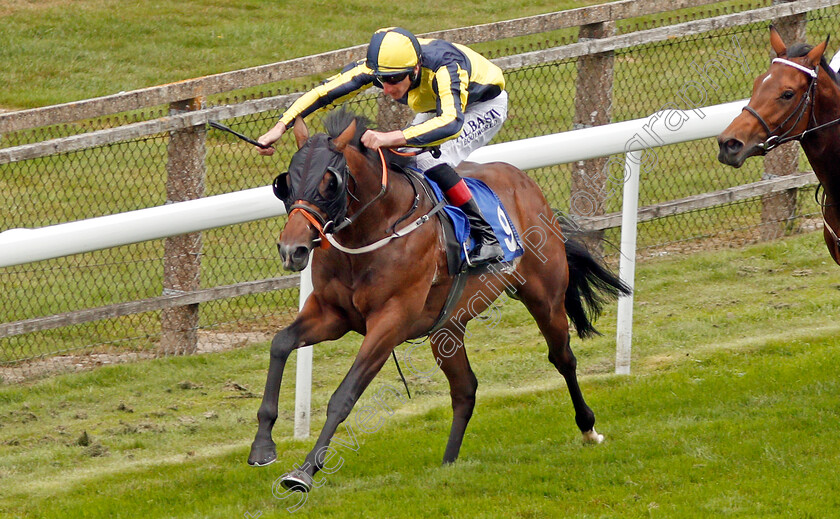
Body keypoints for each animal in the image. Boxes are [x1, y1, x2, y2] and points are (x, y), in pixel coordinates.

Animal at [249, 108, 632, 492]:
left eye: (330, 183)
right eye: (285, 183)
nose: (292, 249)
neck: (374, 230)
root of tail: (525, 182)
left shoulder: (390, 322)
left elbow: (344, 395)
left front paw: (304, 472)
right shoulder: (332, 314)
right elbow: (281, 343)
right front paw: (263, 446)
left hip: (544, 297)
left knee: (562, 357)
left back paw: (588, 428)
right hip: (447, 327)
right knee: (465, 388)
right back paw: (449, 462)